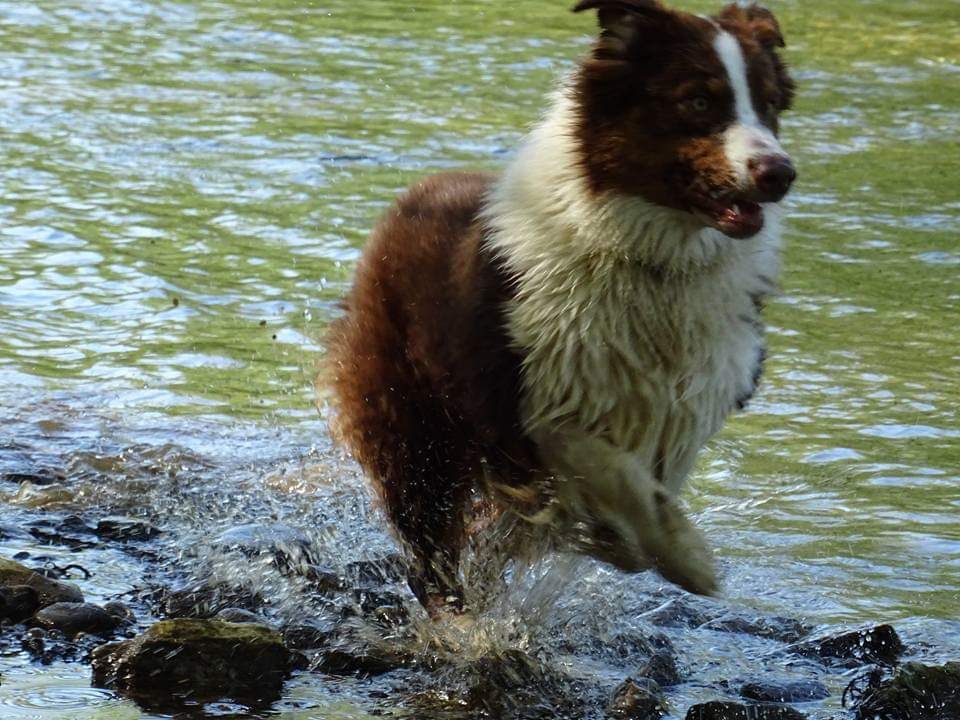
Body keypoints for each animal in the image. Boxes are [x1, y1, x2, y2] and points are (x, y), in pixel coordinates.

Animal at [322, 0, 796, 616]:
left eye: (769, 104)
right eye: (697, 100)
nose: (780, 173)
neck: (646, 260)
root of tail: (415, 193)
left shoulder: (691, 404)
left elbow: (637, 495)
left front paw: (629, 540)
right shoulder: (524, 405)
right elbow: (610, 471)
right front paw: (685, 553)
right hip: (411, 427)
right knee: (430, 550)